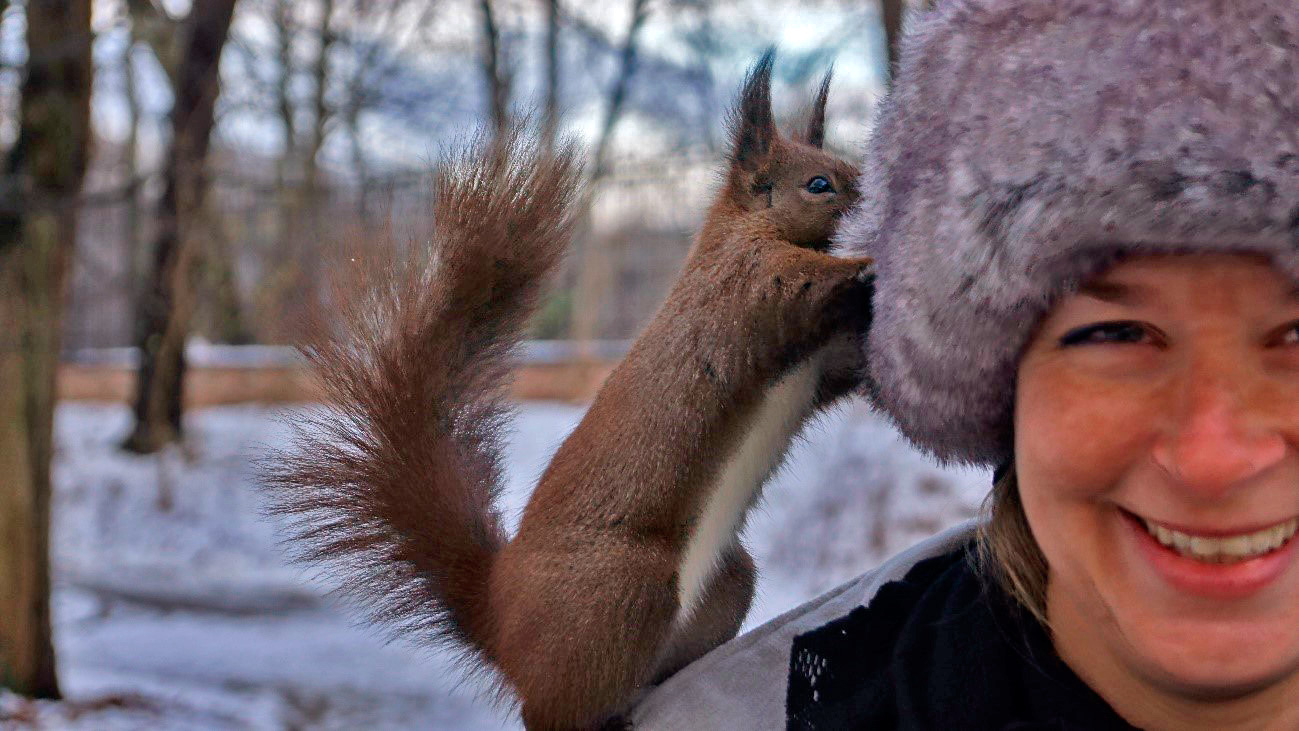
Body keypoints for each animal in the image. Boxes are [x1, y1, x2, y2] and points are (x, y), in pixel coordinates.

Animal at [264, 52, 872, 731]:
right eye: (819, 184)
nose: (872, 192)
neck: (736, 231)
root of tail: (501, 621)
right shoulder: (745, 283)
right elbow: (797, 285)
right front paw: (868, 267)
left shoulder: (818, 358)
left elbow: (844, 365)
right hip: (621, 590)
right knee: (553, 707)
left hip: (723, 581)